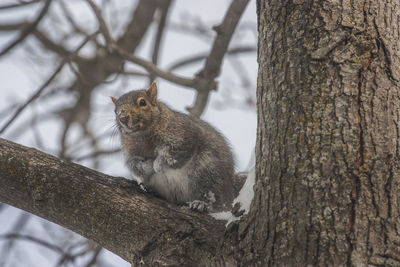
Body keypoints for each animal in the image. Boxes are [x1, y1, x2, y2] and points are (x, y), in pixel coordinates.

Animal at [111, 82, 242, 213]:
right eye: (115, 110)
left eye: (142, 102)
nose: (123, 117)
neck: (141, 137)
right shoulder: (129, 153)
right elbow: (135, 165)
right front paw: (148, 166)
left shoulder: (186, 134)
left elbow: (175, 154)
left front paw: (157, 164)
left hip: (209, 170)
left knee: (218, 201)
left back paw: (202, 204)